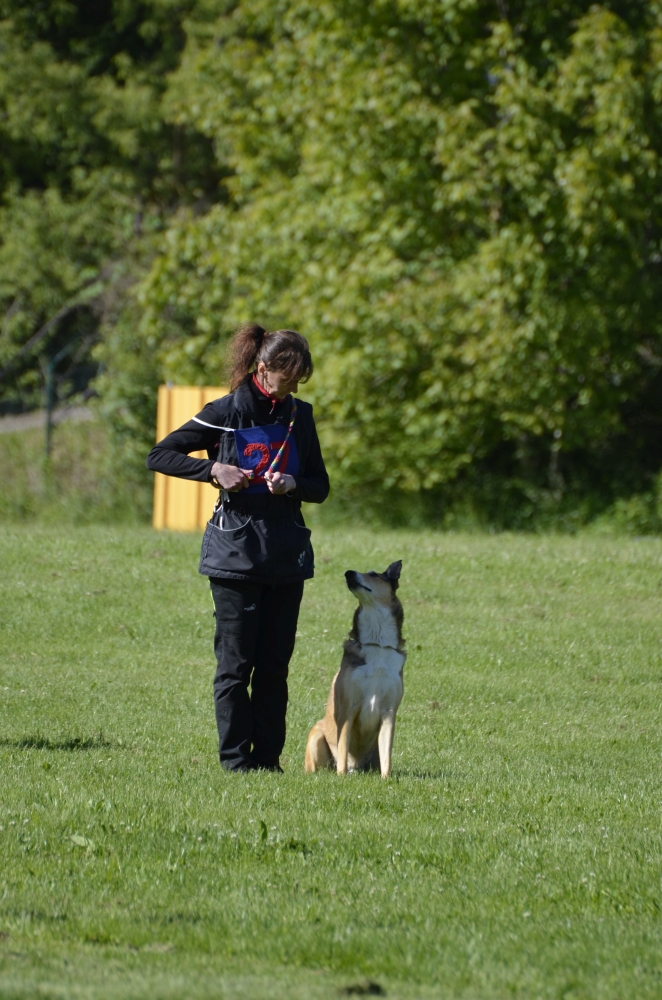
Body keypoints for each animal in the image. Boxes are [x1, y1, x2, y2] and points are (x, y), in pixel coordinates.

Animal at [304, 560, 404, 776]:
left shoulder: (389, 712)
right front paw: (341, 777)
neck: (377, 644)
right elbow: (342, 749)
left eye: (373, 574)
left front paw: (386, 779)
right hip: (316, 735)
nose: (348, 573)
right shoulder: (348, 708)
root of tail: (356, 768)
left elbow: (387, 757)